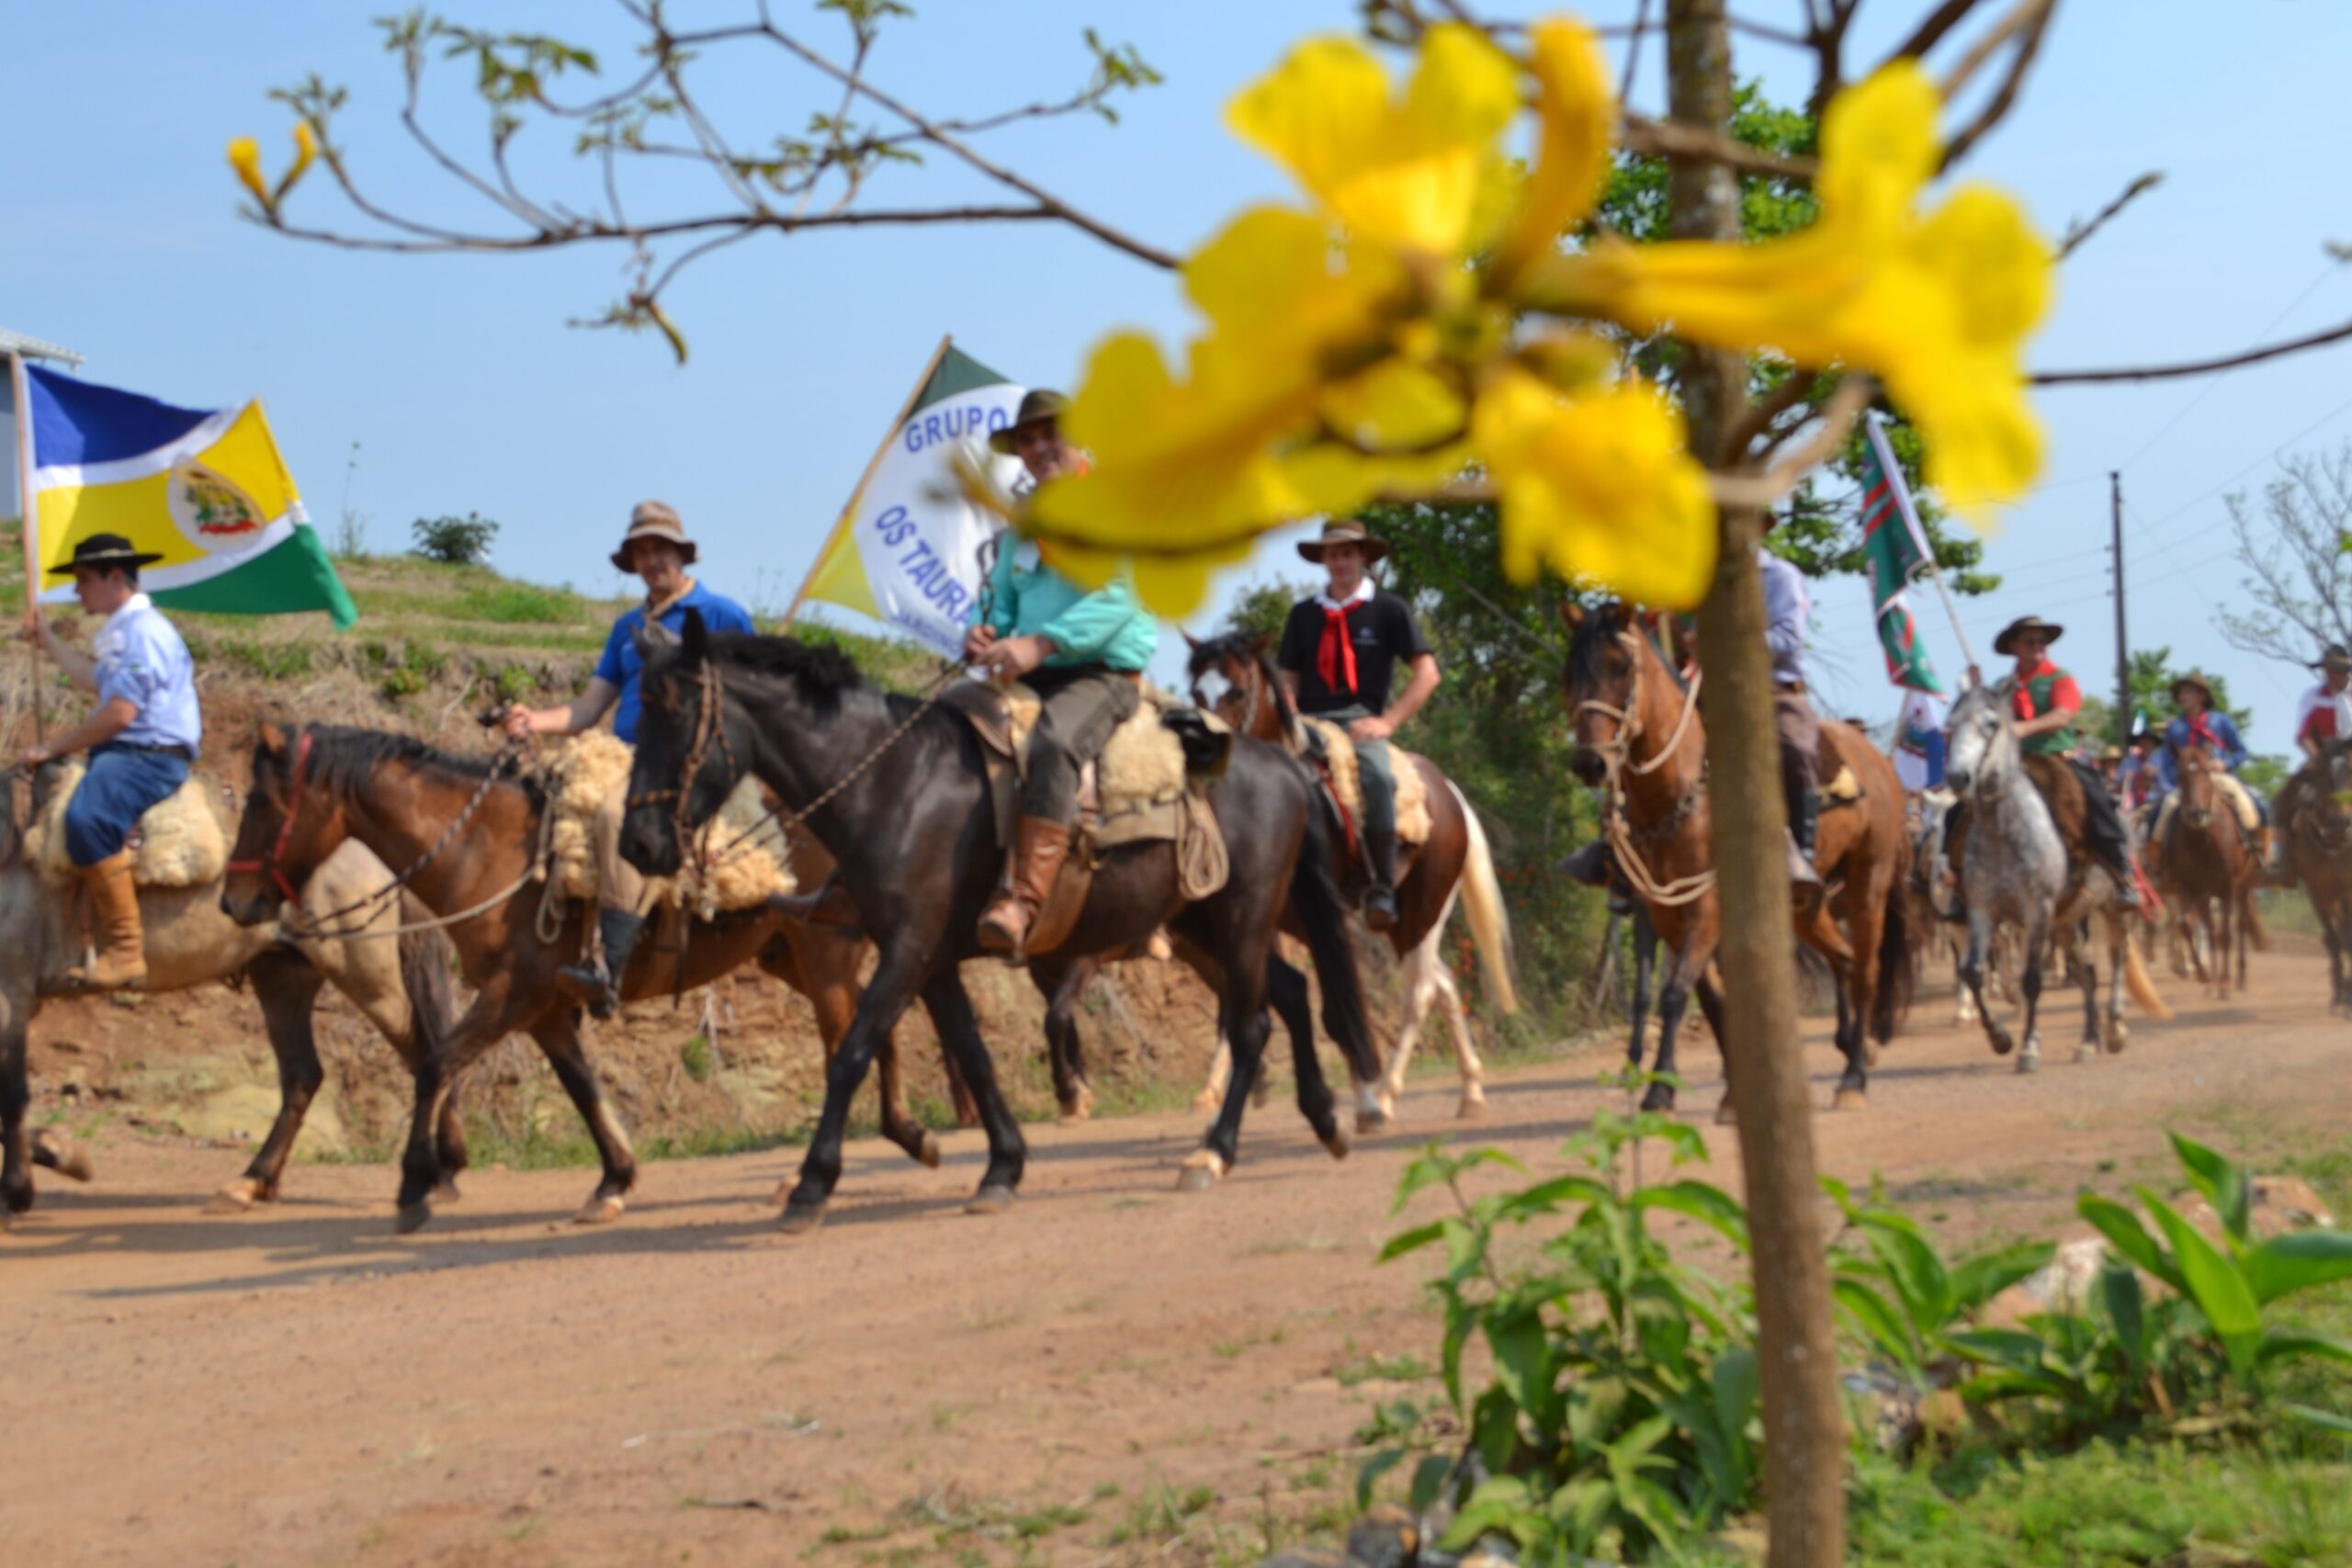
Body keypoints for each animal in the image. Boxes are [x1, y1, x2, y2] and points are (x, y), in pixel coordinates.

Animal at [5, 761, 456, 1222]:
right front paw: (59, 1156)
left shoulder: (13, 994)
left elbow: (13, 1093)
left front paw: (22, 1187)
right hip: (281, 976)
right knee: (303, 1075)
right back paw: (252, 1182)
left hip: (368, 977)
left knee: (425, 1053)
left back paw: (439, 1176)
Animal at [219, 719, 935, 1232]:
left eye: (262, 803)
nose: (232, 902)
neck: (485, 850)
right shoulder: (544, 1006)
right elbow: (582, 1087)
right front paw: (613, 1181)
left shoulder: (514, 992)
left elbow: (435, 1063)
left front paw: (416, 1185)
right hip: (792, 953)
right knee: (875, 1026)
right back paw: (900, 1137)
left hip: (824, 949)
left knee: (851, 1041)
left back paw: (837, 1166)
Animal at [620, 620, 1374, 1232]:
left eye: (675, 712)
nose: (639, 844)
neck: (898, 785)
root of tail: (1283, 766)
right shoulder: (931, 961)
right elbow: (974, 1056)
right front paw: (1002, 1168)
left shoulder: (907, 950)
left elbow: (853, 1051)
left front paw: (811, 1185)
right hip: (1206, 923)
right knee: (1290, 993)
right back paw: (1325, 1119)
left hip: (1243, 916)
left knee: (1251, 1024)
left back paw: (1214, 1153)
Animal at [1185, 629, 1514, 1123]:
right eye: (1195, 693)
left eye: (1238, 692)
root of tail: (1449, 795)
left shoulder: (1318, 919)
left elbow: (1339, 1003)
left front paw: (1364, 1097)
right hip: (1404, 923)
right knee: (1443, 981)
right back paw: (1471, 1091)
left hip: (1425, 912)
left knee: (1421, 991)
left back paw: (1391, 1092)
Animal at [1561, 602, 1909, 1114]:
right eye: (1569, 675)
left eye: (1621, 667)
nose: (1590, 763)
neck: (1679, 794)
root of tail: (1876, 759)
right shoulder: (1662, 911)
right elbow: (1707, 997)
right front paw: (1726, 1093)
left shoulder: (1707, 909)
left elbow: (1673, 994)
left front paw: (1660, 1092)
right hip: (1808, 905)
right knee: (1843, 959)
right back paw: (1852, 1046)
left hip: (1869, 883)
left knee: (1865, 967)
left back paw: (1853, 1078)